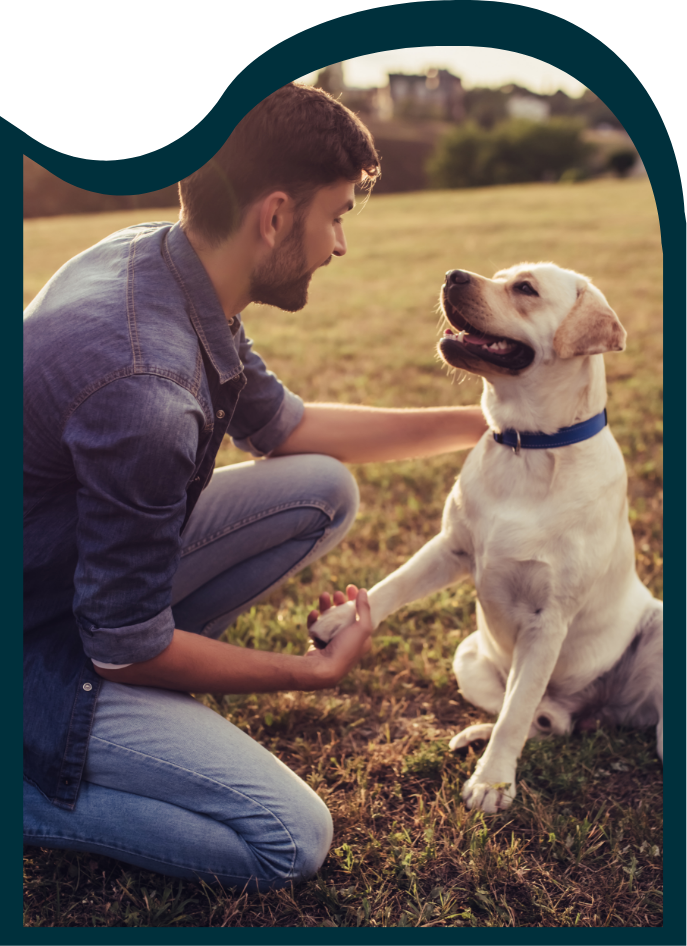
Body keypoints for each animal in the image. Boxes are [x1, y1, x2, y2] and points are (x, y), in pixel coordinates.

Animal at [314, 264, 664, 812]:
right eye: (499, 275)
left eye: (525, 288)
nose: (452, 274)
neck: (528, 447)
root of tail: (589, 711)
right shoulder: (451, 547)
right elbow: (393, 584)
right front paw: (340, 619)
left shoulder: (548, 619)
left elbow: (515, 715)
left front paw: (492, 783)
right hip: (468, 658)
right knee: (538, 718)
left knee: (533, 713)